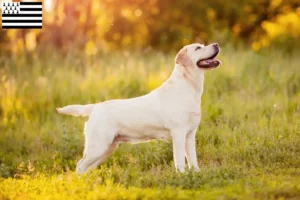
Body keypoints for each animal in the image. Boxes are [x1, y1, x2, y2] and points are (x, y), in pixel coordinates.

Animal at [56, 43, 220, 174]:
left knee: (87, 167)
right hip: (98, 146)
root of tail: (95, 107)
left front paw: (197, 174)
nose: (216, 44)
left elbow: (193, 159)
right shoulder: (178, 133)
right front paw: (183, 176)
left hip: (107, 148)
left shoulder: (190, 135)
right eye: (198, 48)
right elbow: (180, 160)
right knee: (80, 165)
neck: (190, 86)